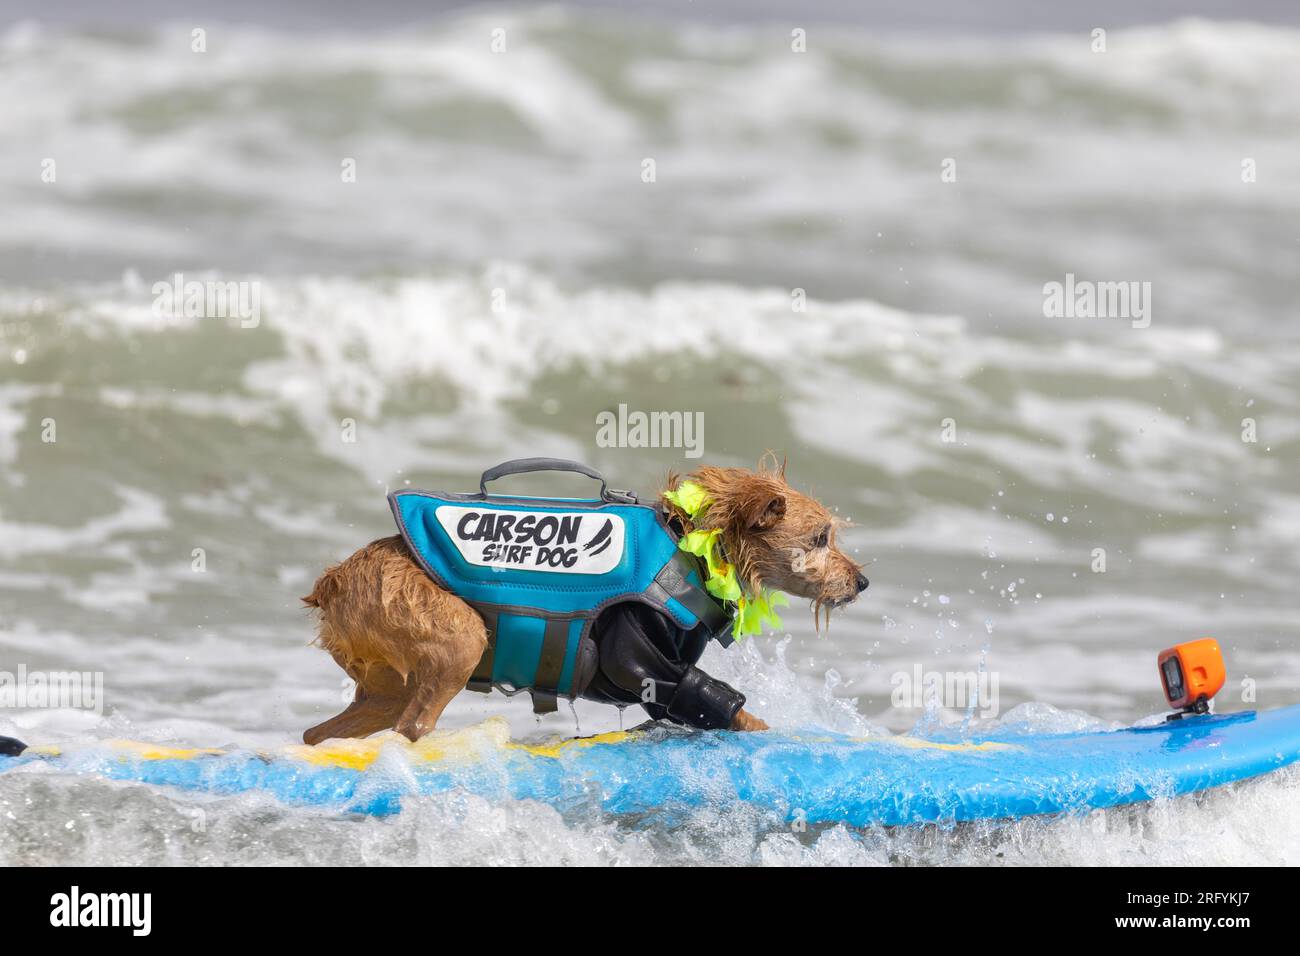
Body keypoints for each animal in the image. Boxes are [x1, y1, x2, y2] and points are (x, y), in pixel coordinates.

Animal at [300, 460, 868, 743]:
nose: (862, 582)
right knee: (412, 727)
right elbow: (716, 704)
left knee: (318, 733)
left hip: (385, 686)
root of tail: (333, 583)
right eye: (820, 538)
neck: (695, 549)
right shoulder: (646, 660)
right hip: (460, 639)